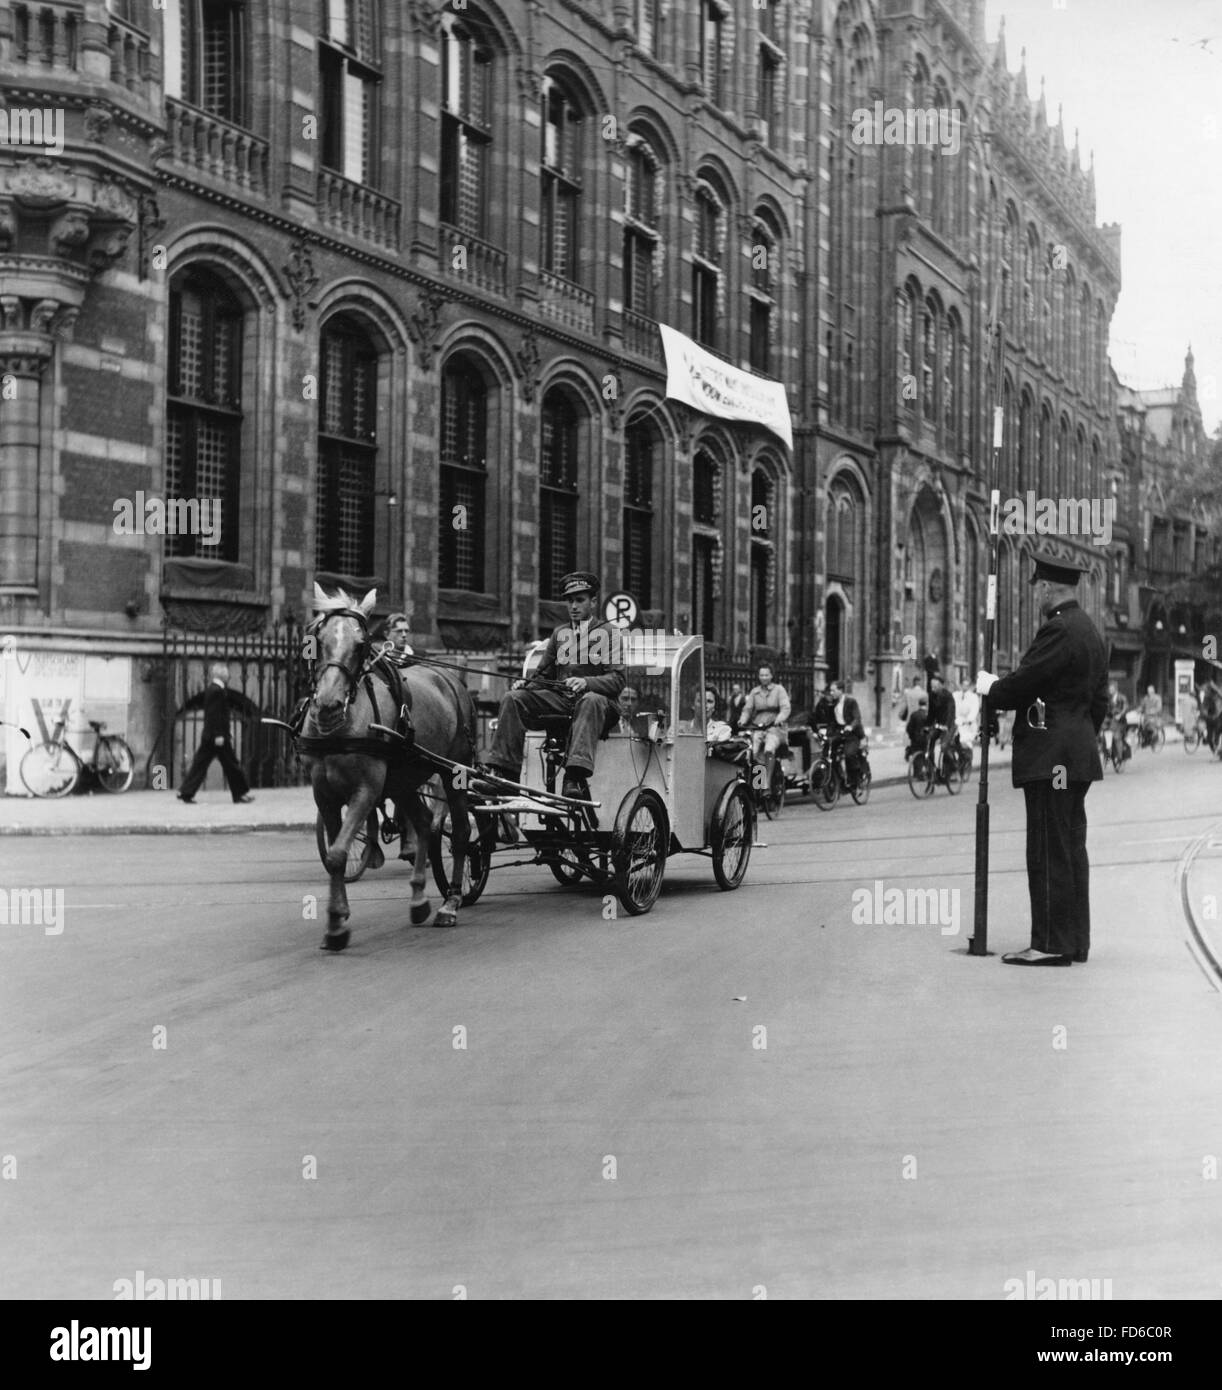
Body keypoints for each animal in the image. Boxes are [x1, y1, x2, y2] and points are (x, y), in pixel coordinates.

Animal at [298, 581, 481, 950]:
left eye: (361, 645)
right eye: (317, 640)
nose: (328, 706)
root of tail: (448, 676)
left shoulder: (366, 790)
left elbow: (338, 852)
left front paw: (337, 924)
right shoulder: (323, 793)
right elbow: (335, 853)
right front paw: (337, 920)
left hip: (454, 769)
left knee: (460, 832)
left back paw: (451, 902)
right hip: (403, 778)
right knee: (424, 822)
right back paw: (419, 899)